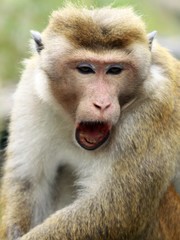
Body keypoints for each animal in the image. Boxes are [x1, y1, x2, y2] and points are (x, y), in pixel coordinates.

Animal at [0, 5, 179, 240]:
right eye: (85, 69)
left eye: (115, 70)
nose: (102, 104)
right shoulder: (31, 90)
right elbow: (28, 181)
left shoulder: (154, 109)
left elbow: (114, 206)